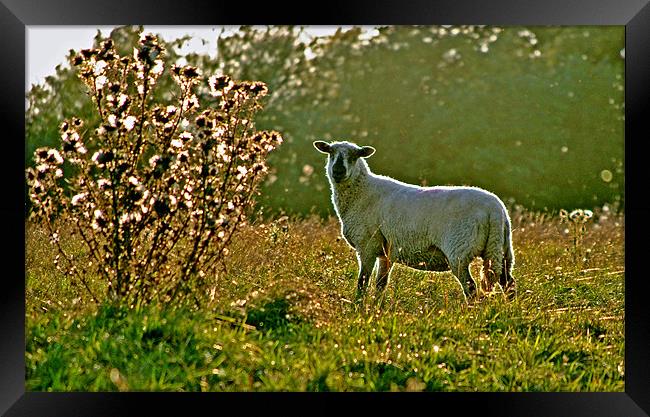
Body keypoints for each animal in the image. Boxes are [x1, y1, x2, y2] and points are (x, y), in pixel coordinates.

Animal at [312, 140, 512, 302]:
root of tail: (495, 210)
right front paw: (376, 309)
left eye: (355, 156)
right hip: (500, 249)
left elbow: (362, 282)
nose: (338, 171)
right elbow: (380, 285)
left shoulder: (367, 245)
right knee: (508, 284)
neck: (361, 192)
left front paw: (358, 308)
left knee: (471, 288)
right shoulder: (386, 252)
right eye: (330, 153)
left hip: (460, 251)